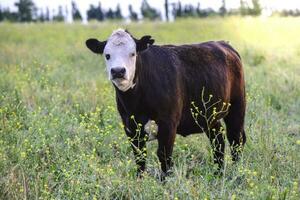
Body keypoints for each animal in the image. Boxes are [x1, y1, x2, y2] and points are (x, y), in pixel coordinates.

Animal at [86, 28, 246, 179]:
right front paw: (140, 181)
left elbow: (164, 155)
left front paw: (164, 182)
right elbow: (140, 157)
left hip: (237, 108)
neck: (136, 103)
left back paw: (236, 172)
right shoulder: (130, 127)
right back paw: (218, 173)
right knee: (218, 139)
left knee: (235, 139)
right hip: (209, 117)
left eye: (132, 53)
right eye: (107, 55)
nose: (118, 71)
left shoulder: (168, 124)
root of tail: (224, 44)